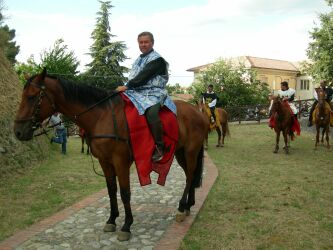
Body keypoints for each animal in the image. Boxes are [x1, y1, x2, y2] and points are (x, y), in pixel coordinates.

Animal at [13, 69, 208, 241]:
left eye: (31, 97)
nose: (18, 132)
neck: (101, 116)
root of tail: (197, 112)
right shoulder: (105, 161)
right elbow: (111, 190)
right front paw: (112, 220)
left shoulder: (120, 161)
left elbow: (125, 192)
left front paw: (126, 226)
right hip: (181, 152)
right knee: (190, 176)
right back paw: (188, 206)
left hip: (190, 151)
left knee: (190, 175)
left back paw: (182, 208)